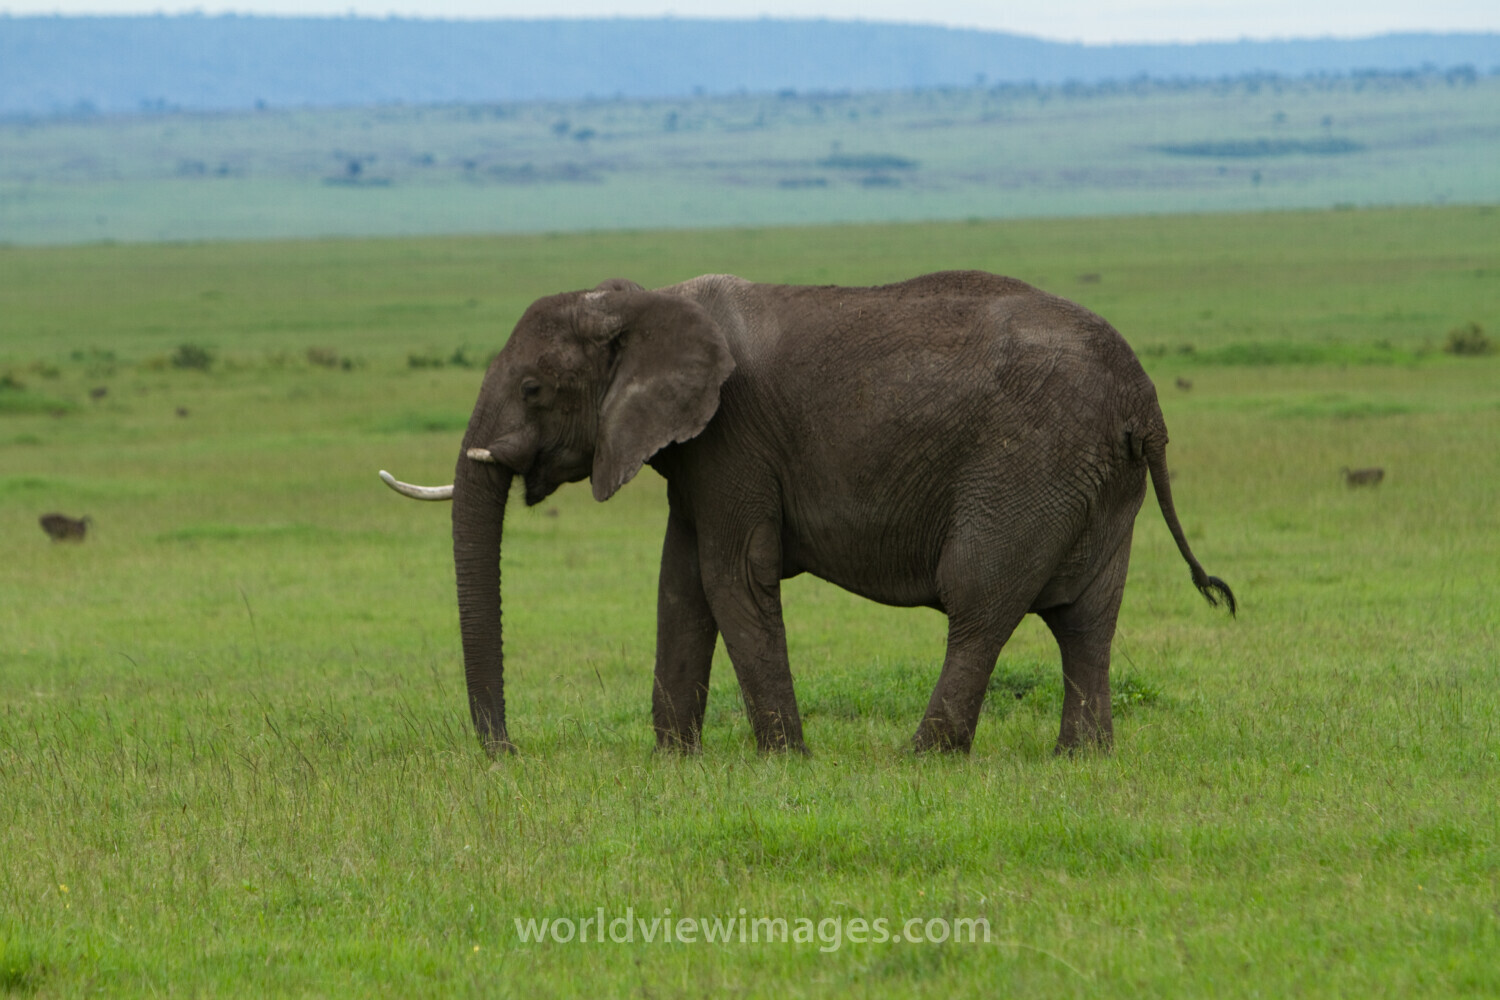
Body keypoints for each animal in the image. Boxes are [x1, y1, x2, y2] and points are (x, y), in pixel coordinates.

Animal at [380, 270, 1234, 756]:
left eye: (533, 389)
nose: (506, 752)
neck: (644, 300)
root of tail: (1144, 402)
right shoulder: (698, 450)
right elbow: (680, 584)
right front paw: (673, 761)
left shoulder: (733, 434)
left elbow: (732, 576)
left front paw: (784, 760)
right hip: (1098, 481)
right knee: (1087, 618)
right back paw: (1081, 758)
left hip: (1031, 465)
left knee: (979, 600)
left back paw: (921, 756)